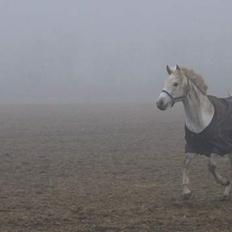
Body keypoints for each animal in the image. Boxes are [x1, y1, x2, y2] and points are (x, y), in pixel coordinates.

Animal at [155, 65, 232, 199]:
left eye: (175, 83)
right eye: (165, 82)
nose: (160, 103)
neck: (202, 119)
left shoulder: (217, 147)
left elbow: (211, 166)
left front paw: (224, 182)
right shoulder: (192, 146)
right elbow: (185, 164)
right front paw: (186, 191)